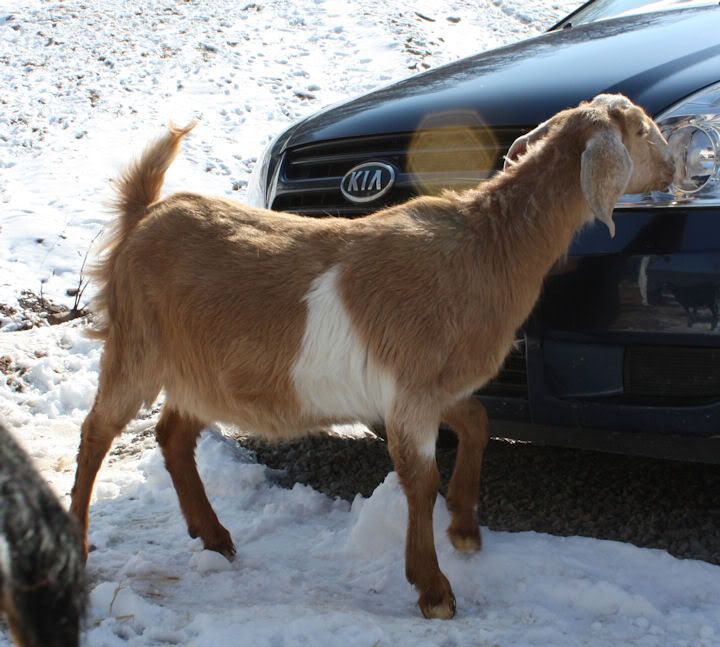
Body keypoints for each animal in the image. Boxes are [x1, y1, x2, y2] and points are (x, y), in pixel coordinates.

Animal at [70, 94, 674, 619]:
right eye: (642, 131)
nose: (673, 169)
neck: (487, 247)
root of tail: (142, 216)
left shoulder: (432, 387)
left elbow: (477, 422)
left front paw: (464, 527)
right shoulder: (412, 388)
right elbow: (420, 480)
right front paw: (434, 590)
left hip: (200, 371)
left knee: (173, 433)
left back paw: (214, 536)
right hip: (138, 347)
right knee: (97, 431)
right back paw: (77, 542)